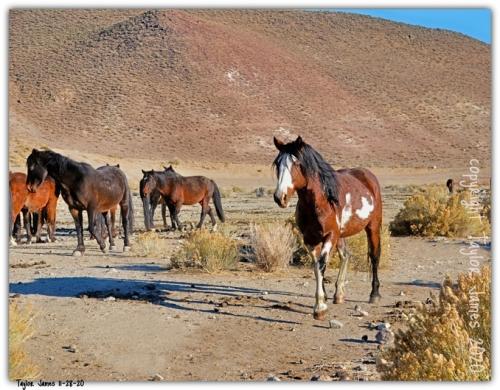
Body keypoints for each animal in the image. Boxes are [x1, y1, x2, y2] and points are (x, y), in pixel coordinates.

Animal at [274, 136, 382, 320]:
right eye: (277, 164)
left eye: (296, 163)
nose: (280, 197)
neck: (320, 202)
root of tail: (368, 176)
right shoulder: (310, 239)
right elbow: (316, 266)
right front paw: (322, 299)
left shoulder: (330, 235)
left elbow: (322, 264)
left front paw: (320, 308)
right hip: (342, 235)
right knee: (345, 255)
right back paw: (339, 294)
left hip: (372, 227)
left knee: (374, 257)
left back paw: (374, 294)